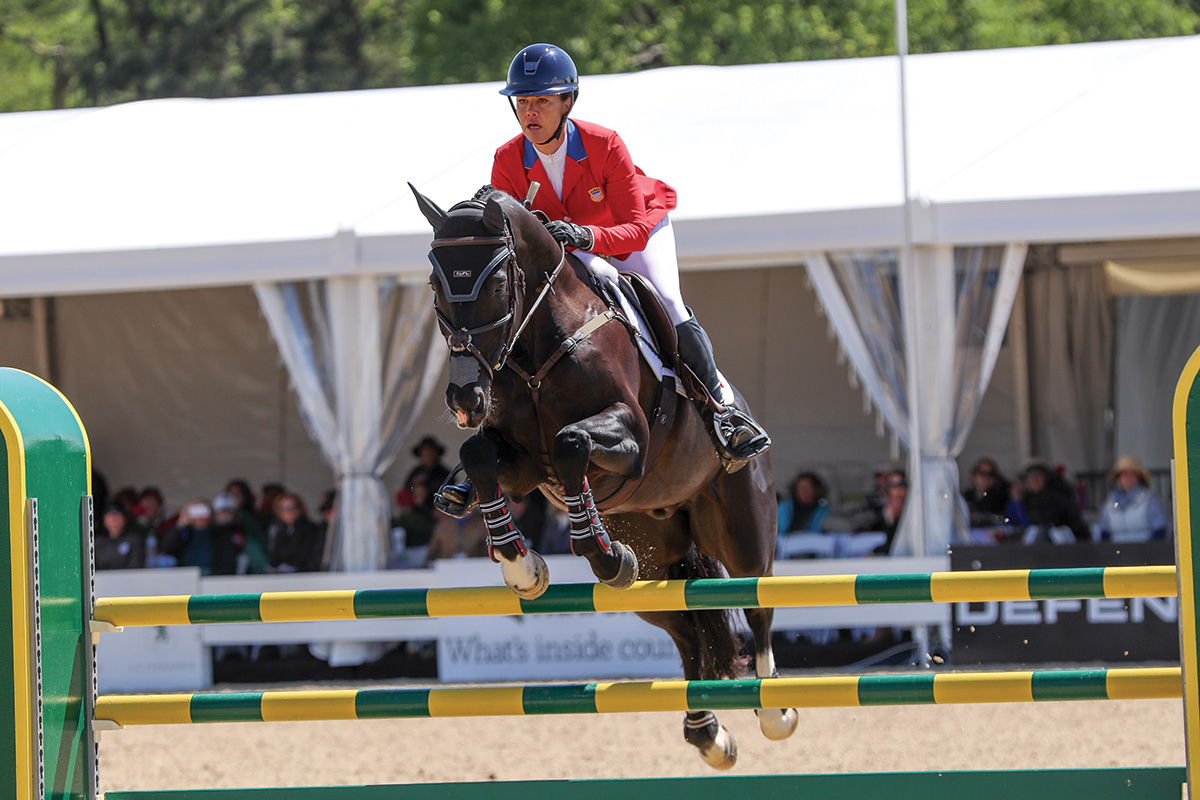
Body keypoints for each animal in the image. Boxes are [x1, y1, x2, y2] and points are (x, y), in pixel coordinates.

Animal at [412, 183, 796, 767]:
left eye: (496, 283)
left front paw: (597, 552)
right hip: (657, 558)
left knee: (759, 604)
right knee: (685, 628)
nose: (465, 397)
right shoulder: (522, 465)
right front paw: (522, 567)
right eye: (436, 283)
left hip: (744, 530)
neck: (539, 346)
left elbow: (571, 442)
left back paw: (774, 710)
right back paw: (707, 733)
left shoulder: (630, 438)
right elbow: (479, 454)